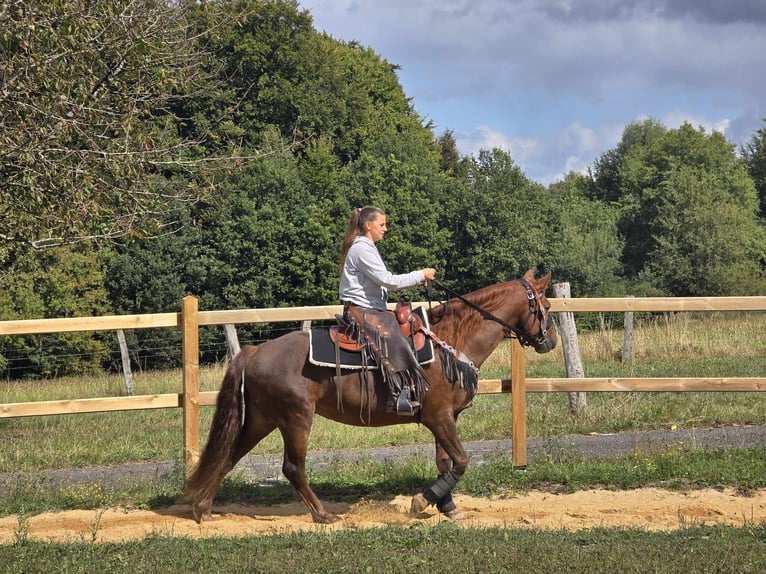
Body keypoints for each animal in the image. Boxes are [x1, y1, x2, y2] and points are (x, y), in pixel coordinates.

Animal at [186, 270, 560, 528]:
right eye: (546, 305)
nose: (551, 341)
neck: (452, 340)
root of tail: (253, 352)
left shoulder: (445, 418)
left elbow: (446, 462)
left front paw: (448, 507)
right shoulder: (438, 417)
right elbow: (462, 460)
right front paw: (422, 501)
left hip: (261, 419)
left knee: (229, 456)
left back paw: (203, 509)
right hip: (295, 420)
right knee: (292, 467)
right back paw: (322, 514)